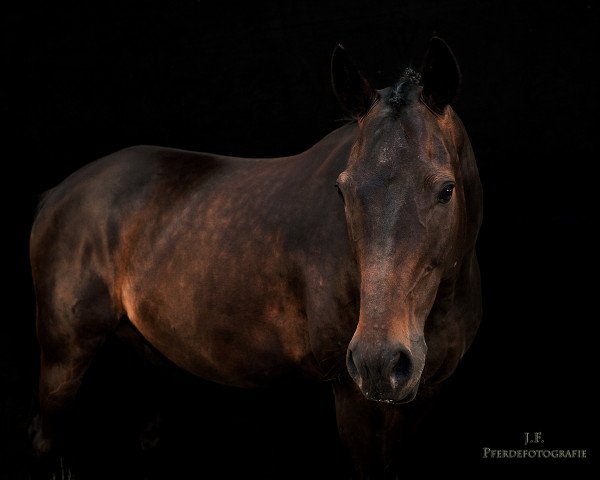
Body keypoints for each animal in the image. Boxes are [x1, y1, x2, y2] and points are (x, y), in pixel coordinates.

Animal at [31, 38, 482, 480]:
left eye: (446, 190)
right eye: (342, 191)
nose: (379, 360)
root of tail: (57, 194)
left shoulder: (427, 391)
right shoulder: (354, 396)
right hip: (63, 357)